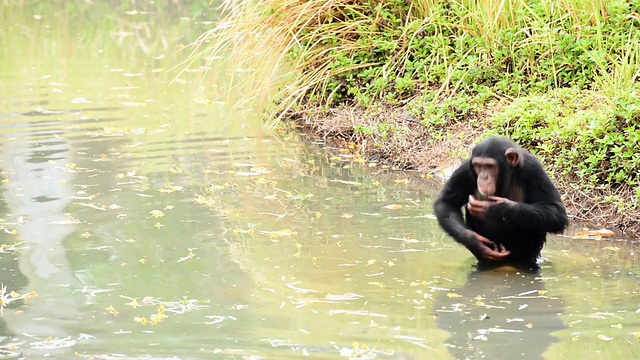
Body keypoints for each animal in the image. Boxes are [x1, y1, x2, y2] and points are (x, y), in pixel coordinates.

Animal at [432, 136, 568, 266]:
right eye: (478, 166)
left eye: (490, 166)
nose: (483, 177)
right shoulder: (465, 170)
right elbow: (447, 202)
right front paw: (475, 242)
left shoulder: (533, 169)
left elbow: (556, 210)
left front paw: (496, 208)